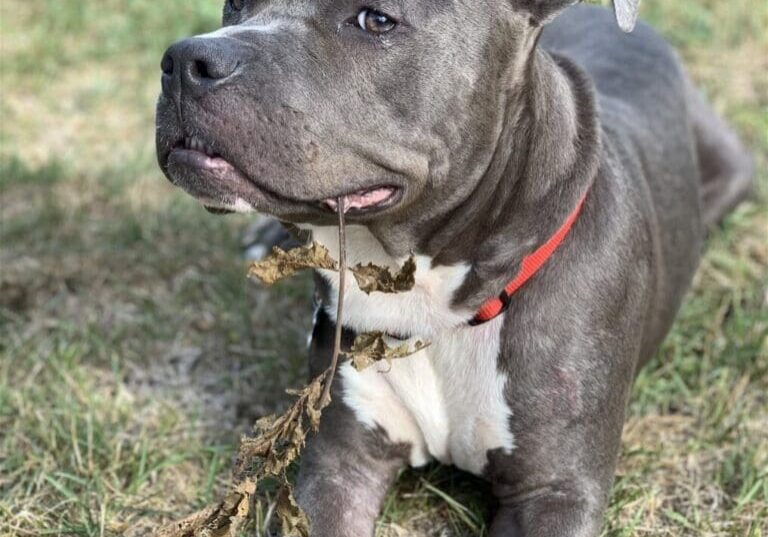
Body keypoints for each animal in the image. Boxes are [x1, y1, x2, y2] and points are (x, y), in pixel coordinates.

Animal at [153, 2, 752, 532]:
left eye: (377, 20)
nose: (186, 61)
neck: (428, 301)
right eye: (236, 1)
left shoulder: (556, 492)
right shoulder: (339, 464)